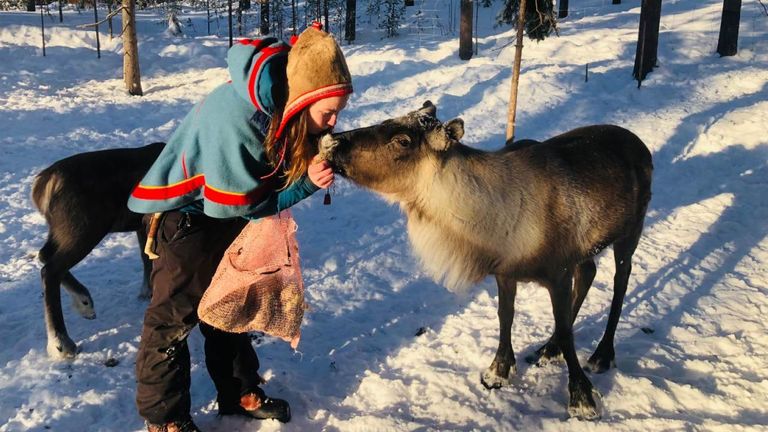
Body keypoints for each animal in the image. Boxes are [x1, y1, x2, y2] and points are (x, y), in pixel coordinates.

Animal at [31, 142, 164, 359]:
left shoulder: (142, 226)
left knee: (44, 255)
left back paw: (84, 302)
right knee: (50, 270)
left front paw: (147, 293)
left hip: (62, 230)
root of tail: (43, 184)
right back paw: (62, 342)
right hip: (86, 229)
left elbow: (147, 259)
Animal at [319, 101, 653, 419]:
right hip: (587, 249)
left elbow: (565, 330)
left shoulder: (558, 271)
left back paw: (601, 354)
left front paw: (582, 399)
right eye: (389, 120)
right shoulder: (506, 272)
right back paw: (549, 348)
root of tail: (642, 145)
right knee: (589, 272)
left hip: (630, 232)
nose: (330, 141)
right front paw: (498, 371)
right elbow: (506, 316)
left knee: (620, 283)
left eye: (402, 140)